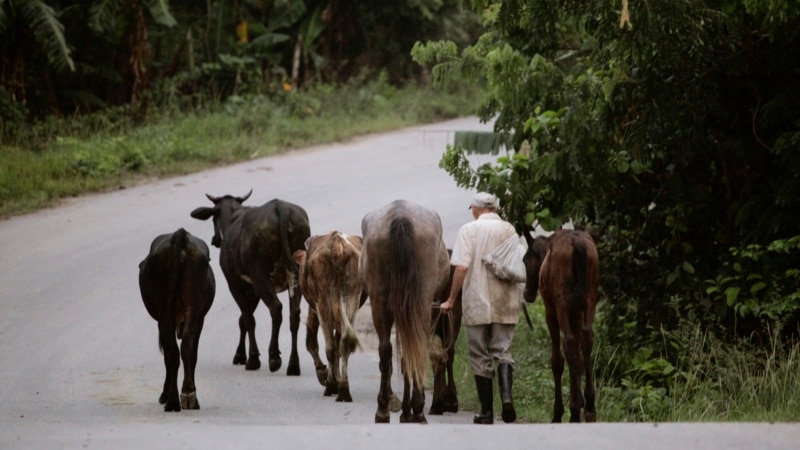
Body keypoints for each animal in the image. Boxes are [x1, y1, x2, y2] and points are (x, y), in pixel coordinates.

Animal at [139, 229, 216, 412]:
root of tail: (180, 237)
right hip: (192, 310)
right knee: (186, 347)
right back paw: (187, 395)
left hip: (167, 312)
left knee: (173, 351)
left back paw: (173, 400)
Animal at [190, 192, 310, 374]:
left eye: (213, 217)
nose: (215, 240)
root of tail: (281, 206)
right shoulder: (253, 290)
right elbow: (243, 320)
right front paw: (241, 355)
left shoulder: (236, 285)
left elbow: (247, 319)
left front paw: (251, 358)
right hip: (293, 274)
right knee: (294, 314)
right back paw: (293, 365)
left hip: (261, 276)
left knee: (276, 308)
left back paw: (274, 356)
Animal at [296, 230, 368, 402]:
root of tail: (338, 245)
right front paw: (337, 379)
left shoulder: (314, 308)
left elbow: (311, 343)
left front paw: (324, 375)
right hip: (351, 301)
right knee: (343, 344)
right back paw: (344, 390)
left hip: (323, 305)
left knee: (330, 347)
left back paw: (330, 386)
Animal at [520, 229, 596, 422]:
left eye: (525, 260)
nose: (527, 293)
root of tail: (578, 246)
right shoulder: (576, 312)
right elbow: (577, 358)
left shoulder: (550, 309)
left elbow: (557, 360)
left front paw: (560, 412)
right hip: (590, 300)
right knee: (587, 338)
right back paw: (590, 407)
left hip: (562, 303)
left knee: (567, 343)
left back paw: (575, 409)